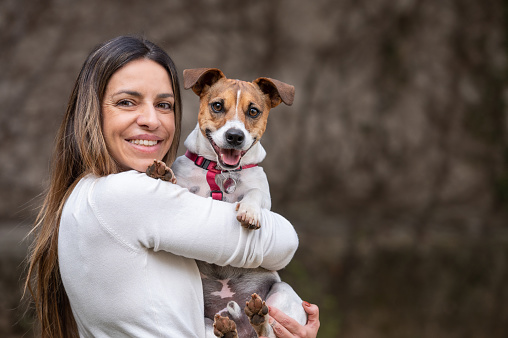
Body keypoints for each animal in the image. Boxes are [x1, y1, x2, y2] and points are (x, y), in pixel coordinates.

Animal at [147, 67, 306, 336]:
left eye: (253, 111)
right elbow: (179, 185)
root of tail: (242, 326)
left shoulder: (262, 193)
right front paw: (163, 175)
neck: (222, 173)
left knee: (268, 330)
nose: (234, 136)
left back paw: (257, 318)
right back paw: (228, 327)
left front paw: (249, 212)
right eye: (218, 106)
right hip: (202, 323)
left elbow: (254, 195)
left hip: (282, 294)